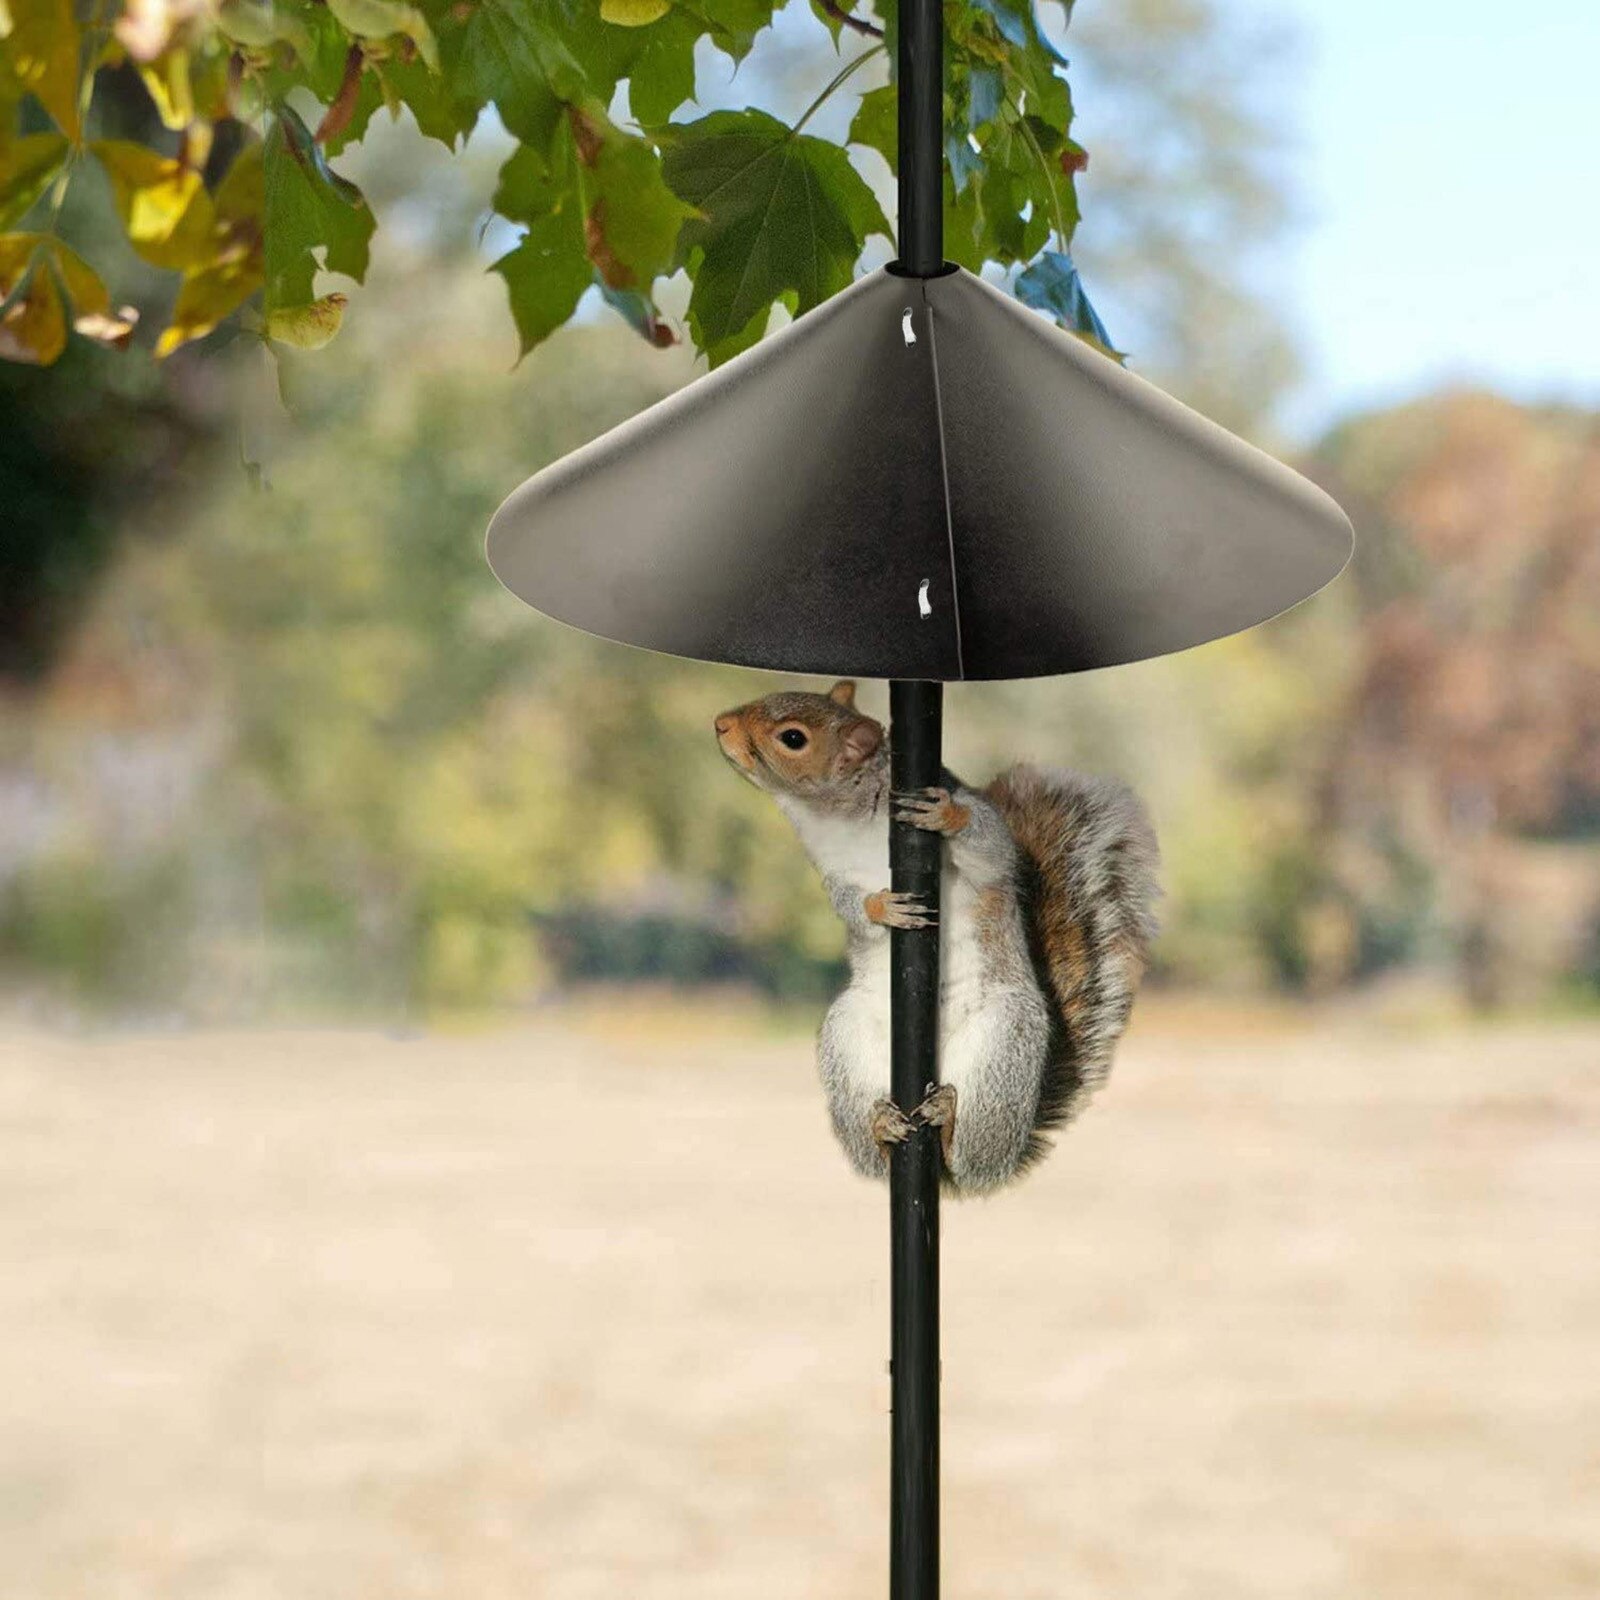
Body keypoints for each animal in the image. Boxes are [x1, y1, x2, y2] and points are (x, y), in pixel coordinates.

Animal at [715, 681, 1160, 1196]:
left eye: (792, 738)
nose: (720, 724)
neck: (841, 817)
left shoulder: (984, 841)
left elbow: (992, 849)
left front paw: (947, 815)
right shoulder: (832, 873)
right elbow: (849, 904)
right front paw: (882, 909)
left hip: (1004, 1042)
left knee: (969, 1157)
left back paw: (948, 1124)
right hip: (847, 1037)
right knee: (876, 1159)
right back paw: (882, 1128)